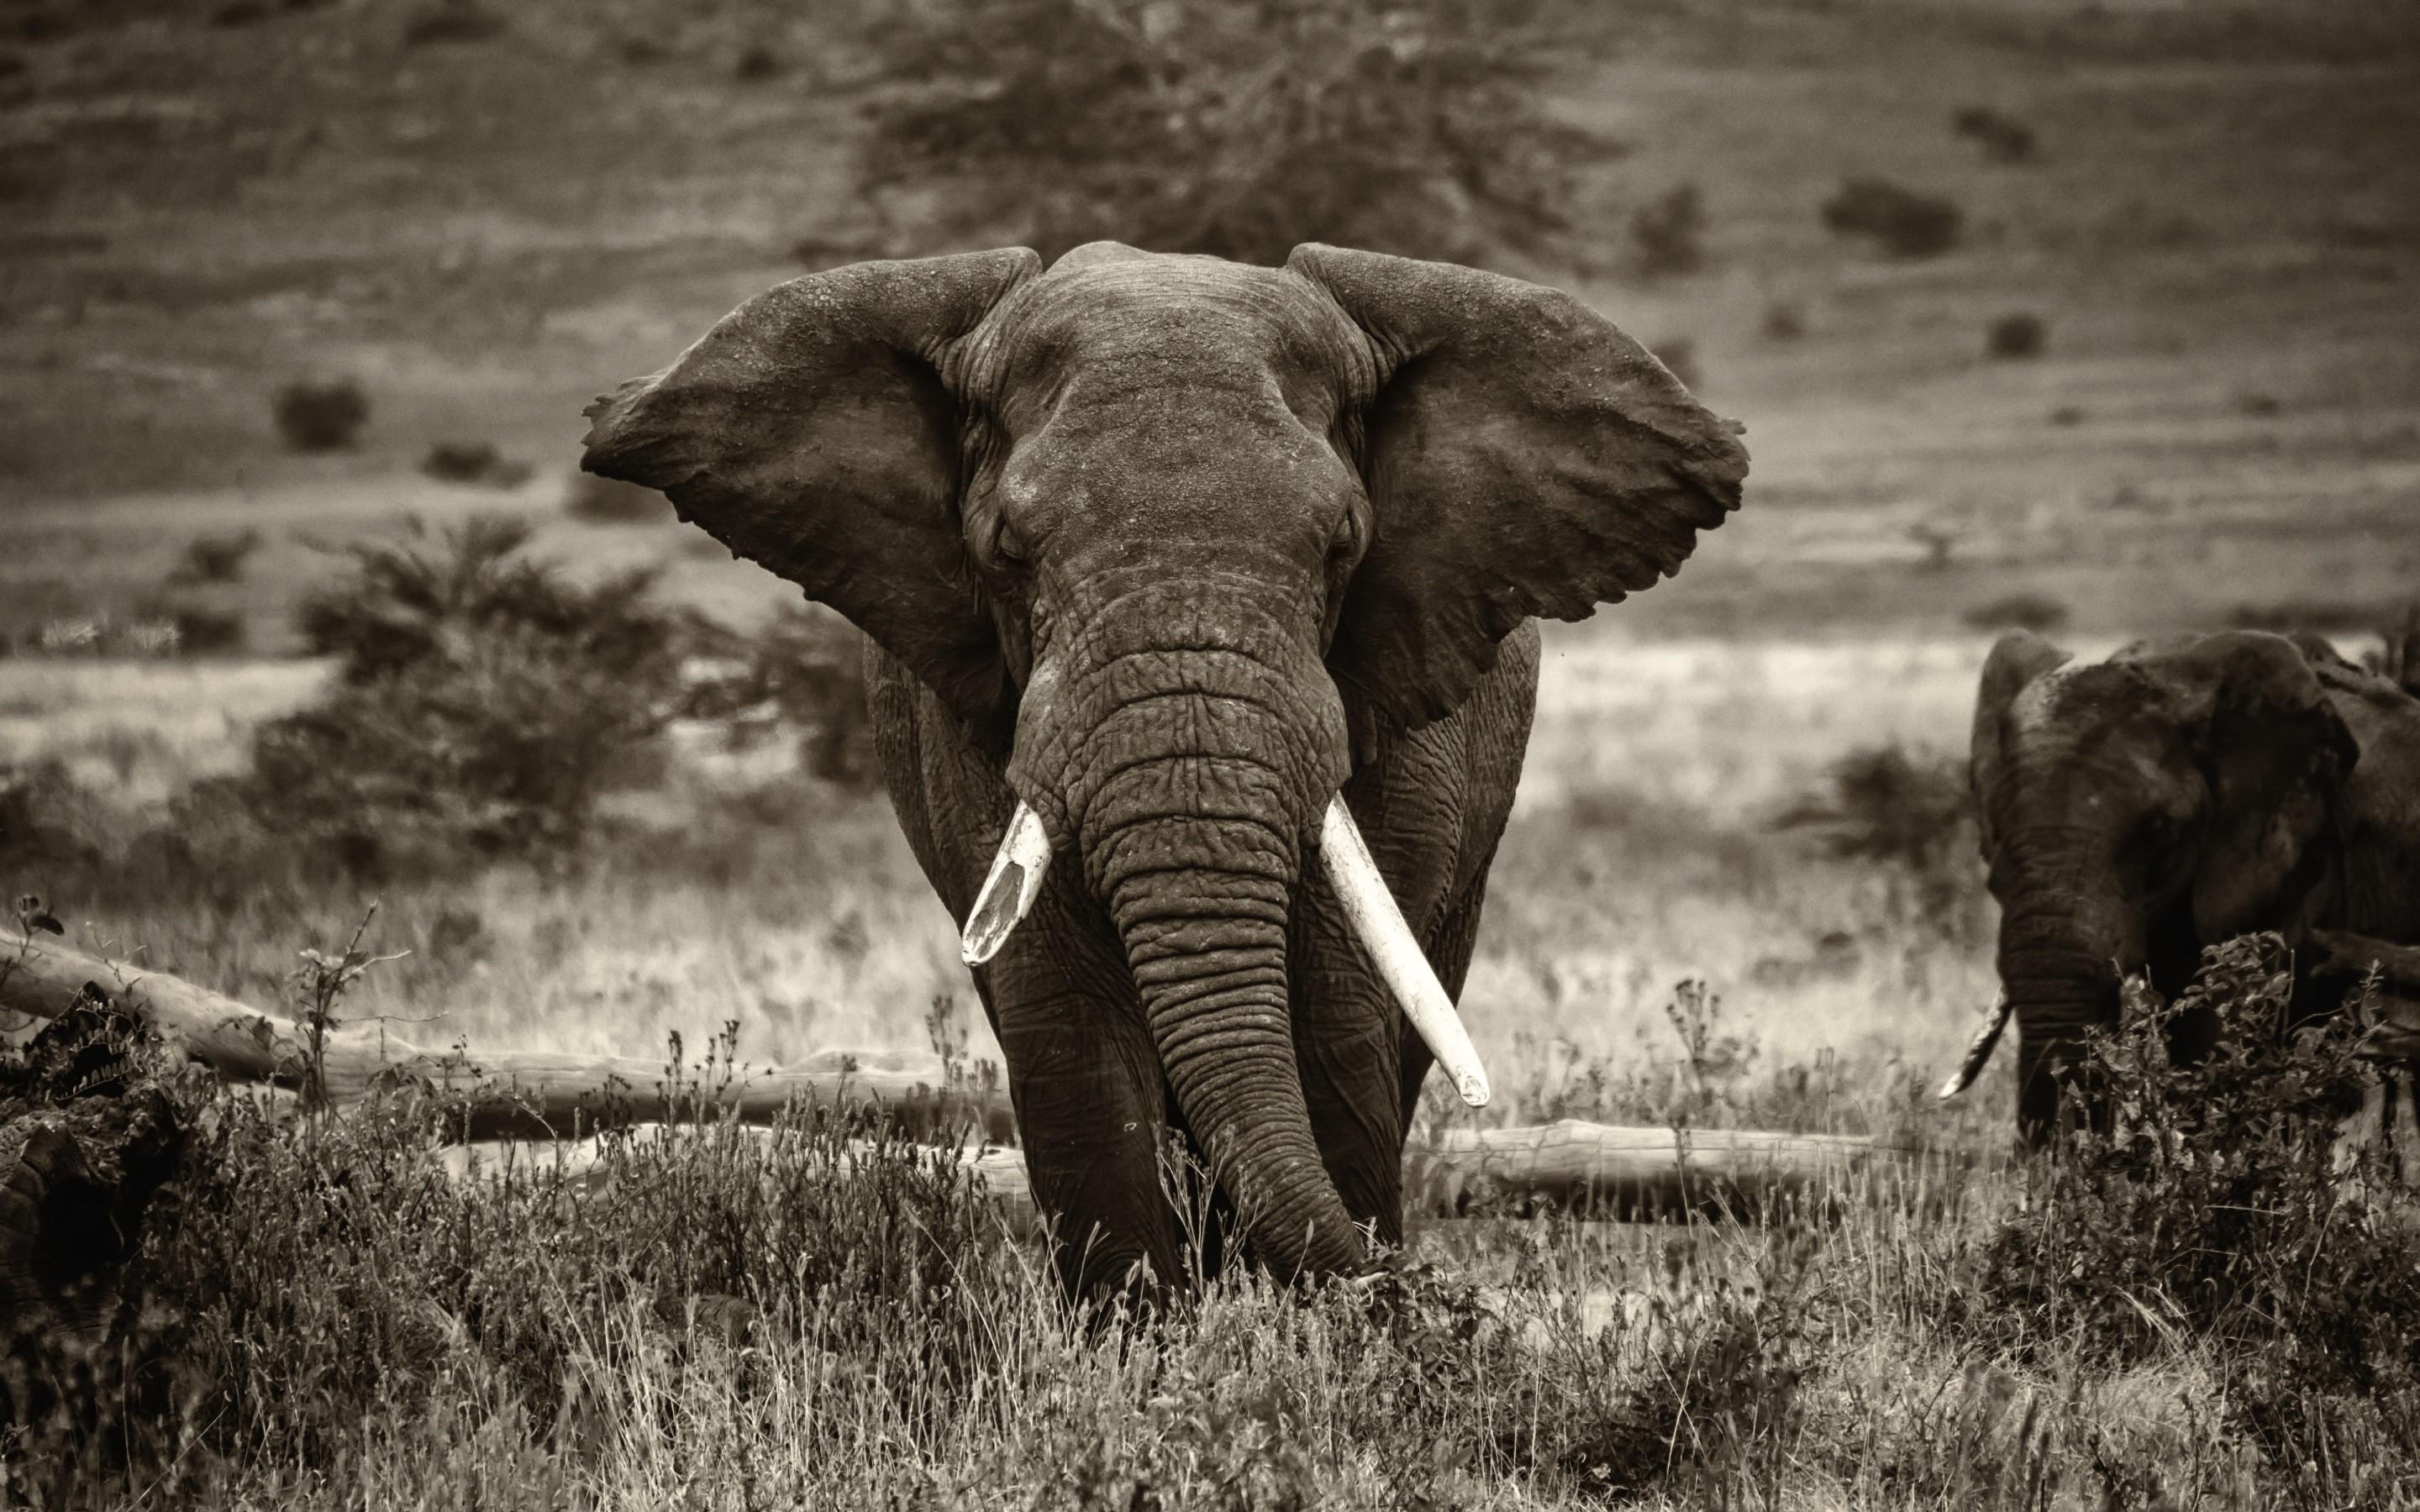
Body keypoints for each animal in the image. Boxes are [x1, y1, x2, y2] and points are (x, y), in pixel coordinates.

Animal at [579, 242, 1748, 1300]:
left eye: (1342, 546)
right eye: (1007, 552)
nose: (1436, 1297)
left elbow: (1332, 1012)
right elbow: (1070, 1032)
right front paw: (1143, 1355)